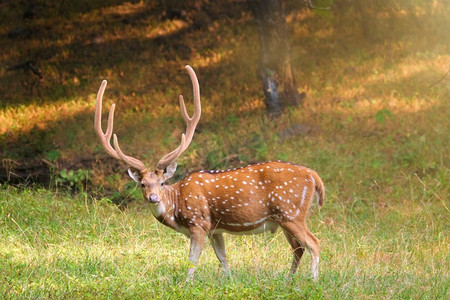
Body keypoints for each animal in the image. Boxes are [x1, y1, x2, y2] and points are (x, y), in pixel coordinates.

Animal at [94, 64, 324, 280]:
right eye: (142, 184)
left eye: (161, 183)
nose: (153, 197)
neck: (177, 206)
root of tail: (313, 176)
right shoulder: (216, 229)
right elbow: (223, 259)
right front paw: (229, 281)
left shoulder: (199, 222)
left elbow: (192, 261)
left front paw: (186, 284)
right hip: (285, 218)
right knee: (298, 248)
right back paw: (288, 280)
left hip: (290, 212)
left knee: (314, 242)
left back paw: (312, 280)